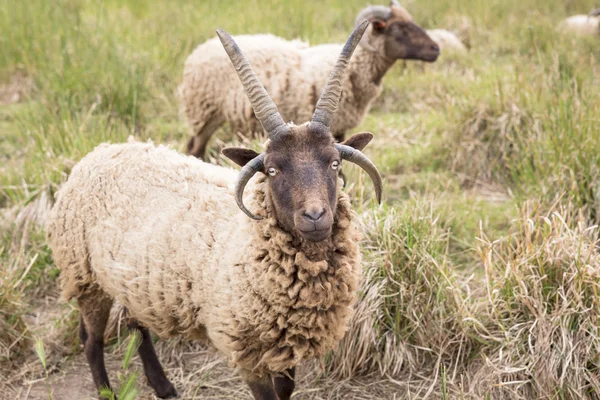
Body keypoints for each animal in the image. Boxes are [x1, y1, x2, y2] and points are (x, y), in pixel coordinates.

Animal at [44, 22, 382, 400]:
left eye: (335, 163)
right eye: (273, 170)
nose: (314, 217)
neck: (250, 245)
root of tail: (97, 154)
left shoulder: (285, 345)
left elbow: (286, 390)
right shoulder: (246, 350)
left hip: (133, 282)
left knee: (137, 327)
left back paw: (164, 387)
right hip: (85, 275)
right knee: (92, 342)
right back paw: (109, 391)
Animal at [180, 0, 438, 159]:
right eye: (399, 28)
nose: (436, 49)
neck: (358, 67)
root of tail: (197, 51)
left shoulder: (339, 128)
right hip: (204, 111)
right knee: (195, 147)